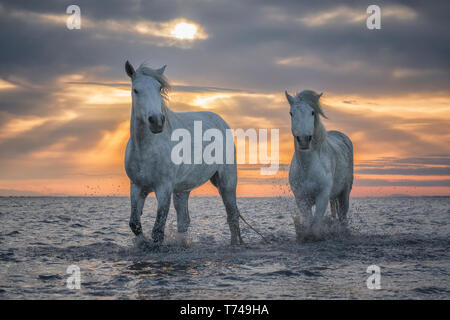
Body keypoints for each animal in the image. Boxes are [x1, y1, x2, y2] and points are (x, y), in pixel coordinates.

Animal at [123, 61, 243, 249]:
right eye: (136, 90)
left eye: (159, 88)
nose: (156, 121)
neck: (146, 149)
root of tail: (220, 120)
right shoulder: (137, 187)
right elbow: (135, 224)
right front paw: (142, 244)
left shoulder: (163, 188)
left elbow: (158, 230)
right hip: (182, 190)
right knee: (184, 221)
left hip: (227, 182)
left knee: (232, 216)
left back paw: (234, 245)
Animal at [286, 89, 354, 238]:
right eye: (291, 113)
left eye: (312, 112)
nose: (303, 140)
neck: (307, 167)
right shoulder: (301, 199)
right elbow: (309, 221)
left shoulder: (322, 196)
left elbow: (316, 223)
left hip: (345, 191)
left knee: (343, 215)